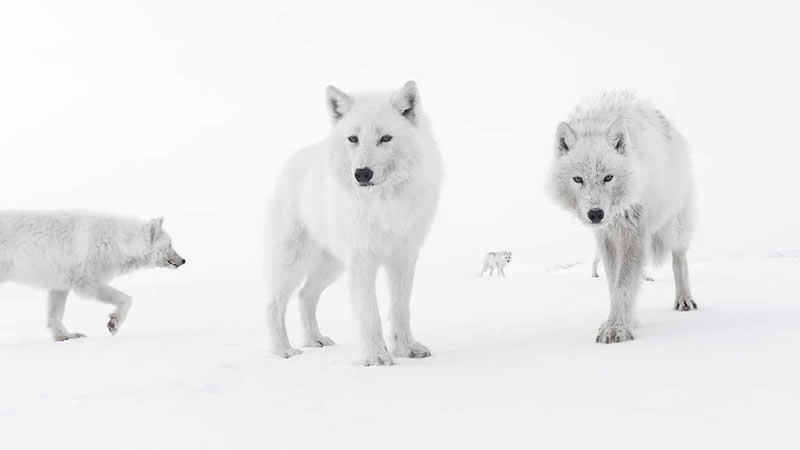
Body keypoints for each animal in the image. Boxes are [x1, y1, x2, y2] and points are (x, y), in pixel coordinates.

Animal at [0, 212, 185, 341]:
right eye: (170, 245)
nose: (184, 260)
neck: (117, 242)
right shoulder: (86, 283)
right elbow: (127, 299)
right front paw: (114, 323)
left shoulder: (60, 285)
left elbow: (55, 315)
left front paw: (65, 336)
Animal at [265, 81, 442, 366]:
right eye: (353, 139)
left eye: (385, 138)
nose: (362, 174)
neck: (383, 204)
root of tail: (294, 160)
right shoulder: (362, 261)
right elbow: (369, 314)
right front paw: (376, 356)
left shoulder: (404, 258)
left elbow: (400, 308)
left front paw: (406, 349)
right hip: (293, 263)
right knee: (274, 303)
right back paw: (283, 350)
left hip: (332, 266)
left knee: (305, 295)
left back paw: (315, 340)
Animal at [548, 91, 696, 344]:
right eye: (578, 179)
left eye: (608, 177)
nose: (595, 214)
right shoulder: (607, 238)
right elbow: (614, 284)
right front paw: (626, 322)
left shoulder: (633, 235)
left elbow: (623, 285)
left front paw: (616, 328)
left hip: (673, 229)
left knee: (679, 259)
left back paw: (684, 300)